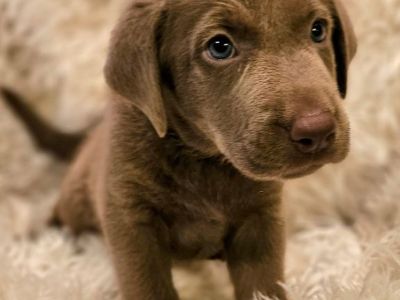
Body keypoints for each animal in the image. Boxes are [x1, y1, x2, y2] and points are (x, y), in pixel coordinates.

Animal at [0, 0, 356, 300]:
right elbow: (148, 286)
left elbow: (263, 285)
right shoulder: (131, 218)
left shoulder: (261, 219)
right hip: (78, 198)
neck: (202, 158)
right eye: (220, 47)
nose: (317, 130)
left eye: (318, 30)